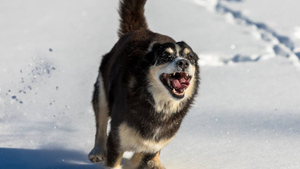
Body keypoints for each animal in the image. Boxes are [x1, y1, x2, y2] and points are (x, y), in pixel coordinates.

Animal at [88, 0, 199, 168]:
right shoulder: (116, 139)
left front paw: (146, 162)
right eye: (166, 56)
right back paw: (97, 151)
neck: (158, 105)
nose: (183, 62)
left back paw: (156, 163)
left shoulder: (153, 144)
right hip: (102, 90)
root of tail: (139, 30)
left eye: (190, 57)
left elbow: (141, 156)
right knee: (100, 123)